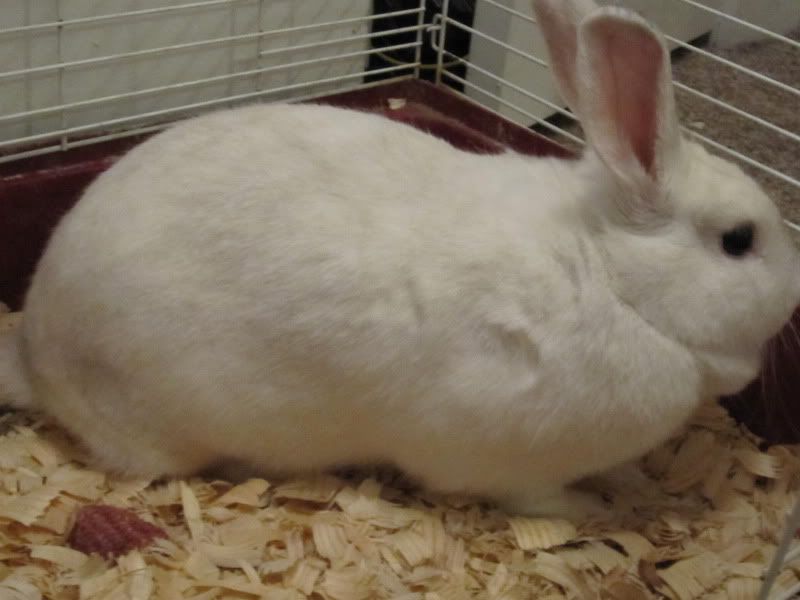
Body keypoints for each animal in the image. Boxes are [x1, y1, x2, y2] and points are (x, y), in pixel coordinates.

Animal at [1, 0, 798, 520]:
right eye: (738, 240)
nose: (795, 287)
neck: (611, 276)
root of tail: (37, 359)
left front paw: (633, 486)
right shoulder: (506, 459)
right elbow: (542, 501)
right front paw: (599, 511)